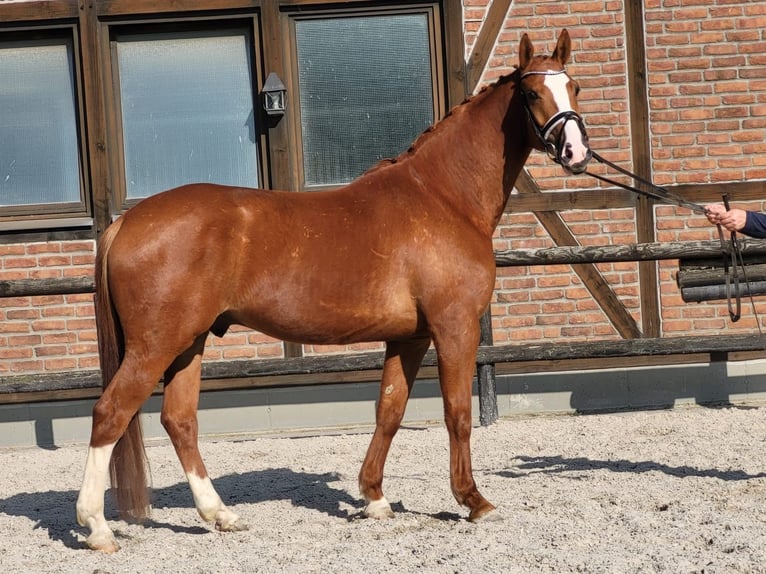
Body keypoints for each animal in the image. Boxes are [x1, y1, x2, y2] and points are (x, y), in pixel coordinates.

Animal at [76, 30, 592, 552]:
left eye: (574, 86)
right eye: (531, 93)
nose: (575, 151)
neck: (442, 197)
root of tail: (125, 223)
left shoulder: (410, 336)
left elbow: (389, 410)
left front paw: (375, 498)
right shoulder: (455, 327)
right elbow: (458, 412)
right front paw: (473, 500)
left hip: (189, 342)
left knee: (179, 421)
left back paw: (219, 514)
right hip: (155, 344)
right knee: (110, 413)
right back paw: (97, 527)